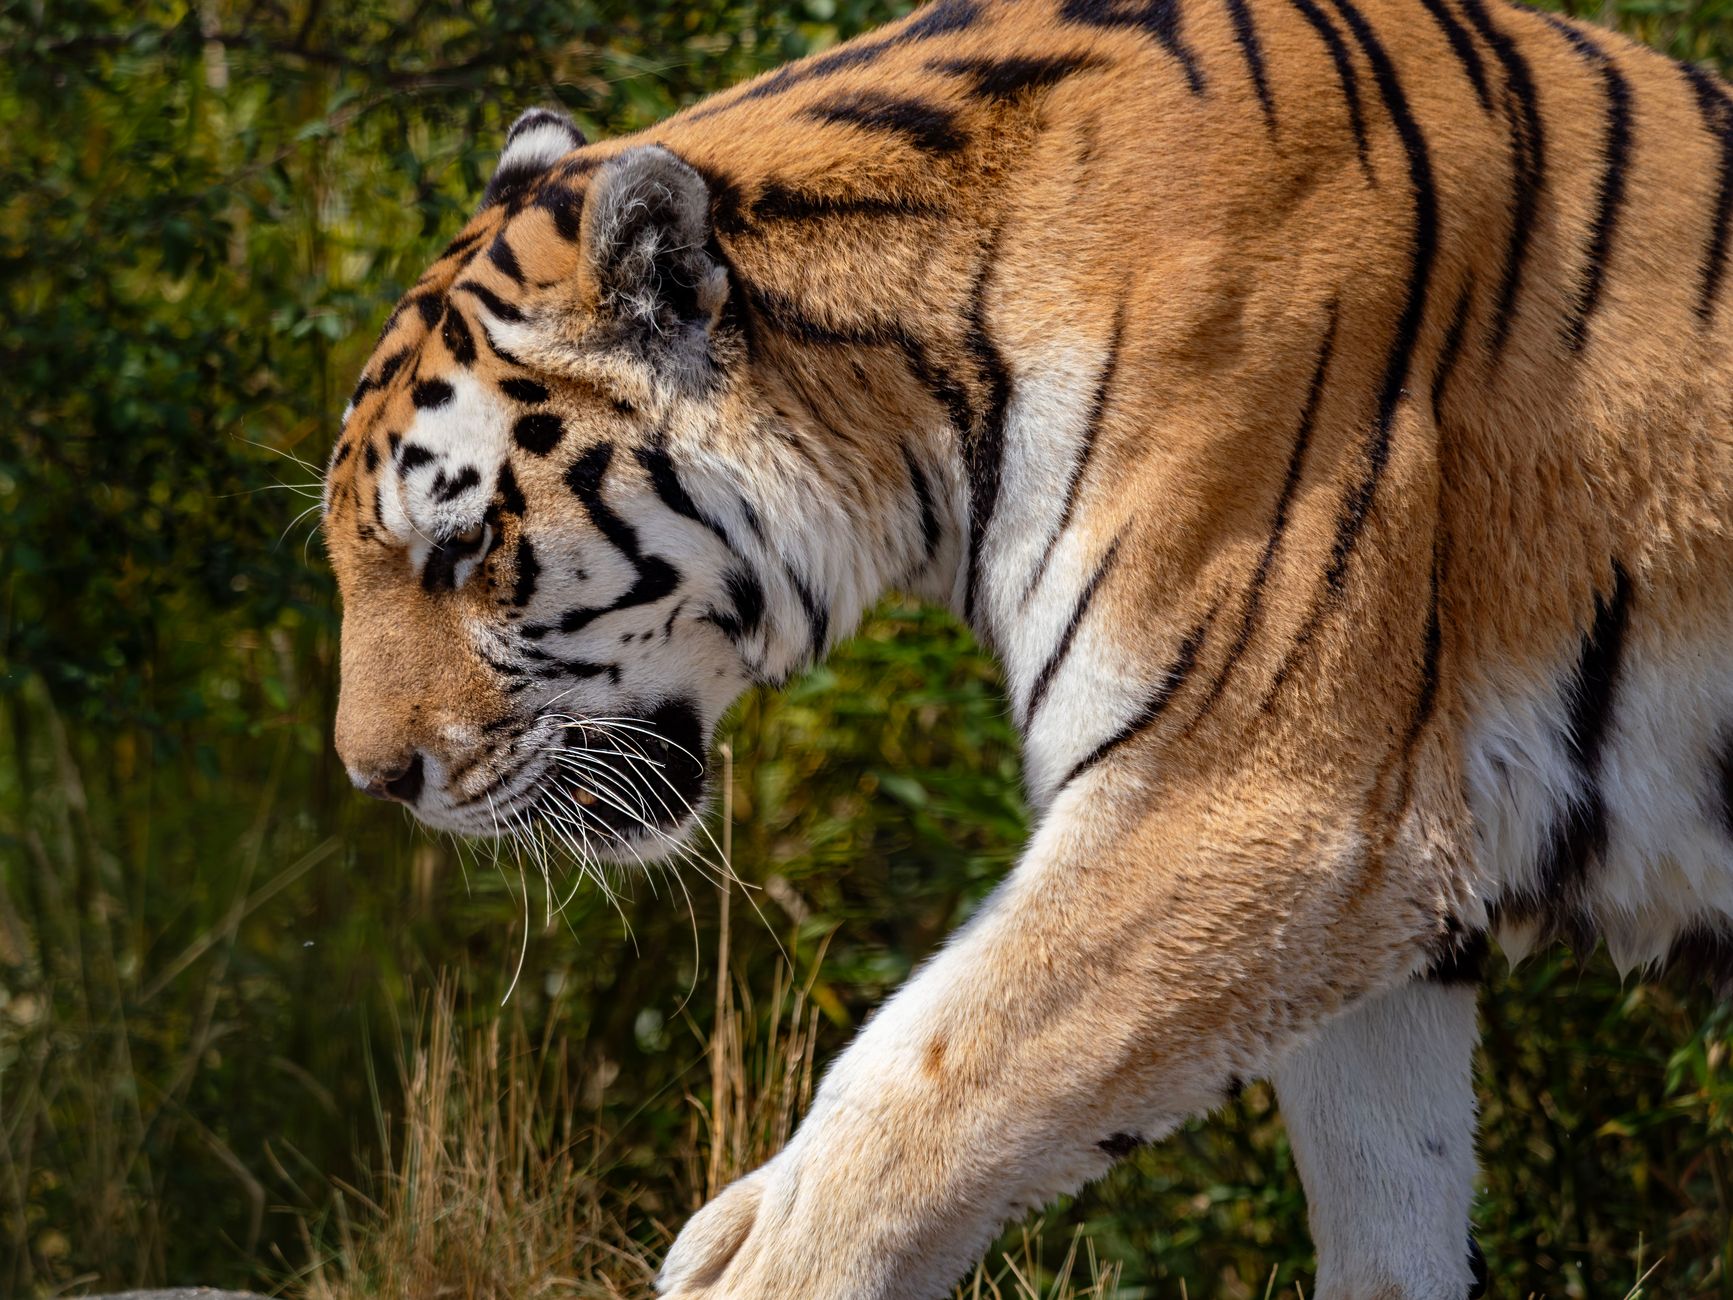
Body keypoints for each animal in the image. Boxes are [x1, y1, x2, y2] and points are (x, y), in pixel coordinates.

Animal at [320, 0, 1733, 1291]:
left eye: (459, 546)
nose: (374, 779)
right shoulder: (1377, 889)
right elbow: (1389, 1208)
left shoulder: (1259, 808)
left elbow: (922, 1093)